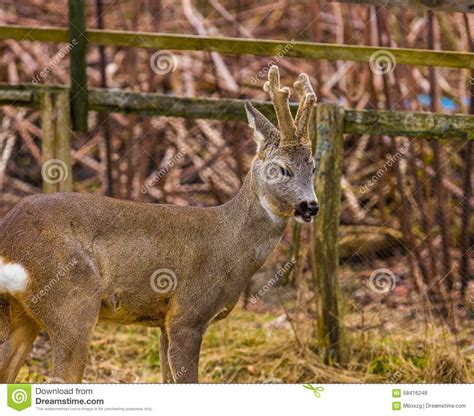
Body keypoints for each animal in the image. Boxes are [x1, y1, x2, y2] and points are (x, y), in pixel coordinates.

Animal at [1, 66, 318, 384]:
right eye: (281, 169)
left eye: (313, 167)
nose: (311, 206)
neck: (230, 244)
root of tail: (9, 239)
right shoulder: (186, 316)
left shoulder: (164, 323)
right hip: (72, 300)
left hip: (19, 313)